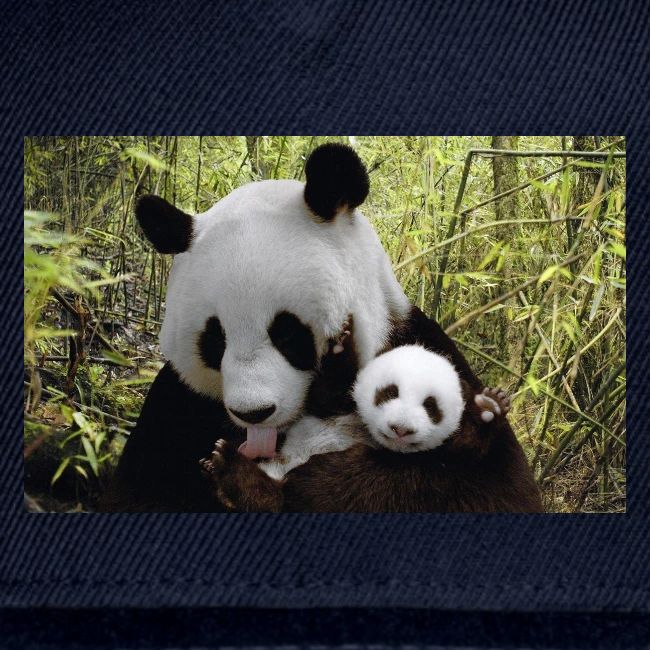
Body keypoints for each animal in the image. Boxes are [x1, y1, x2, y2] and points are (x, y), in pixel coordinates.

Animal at [100, 143, 542, 513]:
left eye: (287, 333)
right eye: (215, 339)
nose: (254, 413)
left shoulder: (421, 347)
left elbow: (489, 488)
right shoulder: (178, 406)